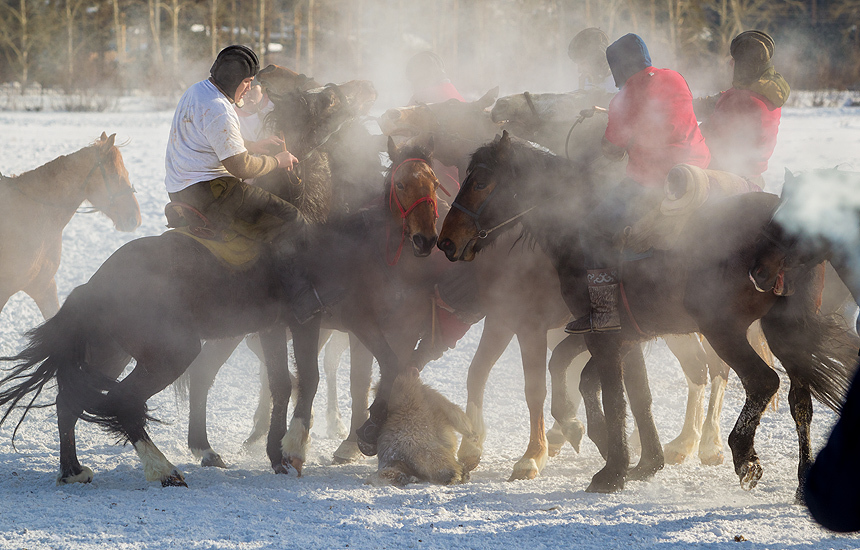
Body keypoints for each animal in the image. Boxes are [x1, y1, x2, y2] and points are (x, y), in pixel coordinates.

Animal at [440, 132, 856, 498]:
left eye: (481, 181)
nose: (446, 241)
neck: (581, 226)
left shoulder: (600, 334)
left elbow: (611, 395)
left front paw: (612, 471)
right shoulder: (626, 336)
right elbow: (630, 393)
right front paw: (642, 461)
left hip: (721, 328)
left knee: (761, 381)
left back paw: (740, 454)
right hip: (786, 330)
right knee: (799, 401)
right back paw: (800, 482)